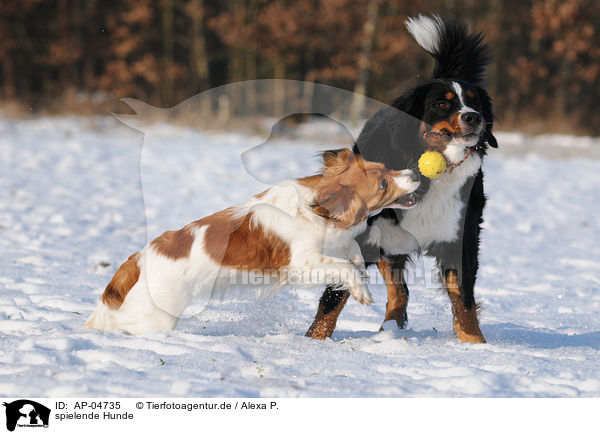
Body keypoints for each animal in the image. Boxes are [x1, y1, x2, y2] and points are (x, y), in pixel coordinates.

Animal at [85, 147, 418, 334]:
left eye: (385, 167)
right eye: (383, 184)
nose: (415, 172)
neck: (316, 207)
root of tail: (139, 258)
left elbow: (352, 254)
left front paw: (359, 272)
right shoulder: (299, 265)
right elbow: (344, 267)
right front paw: (362, 291)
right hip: (158, 315)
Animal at [308, 14, 500, 342]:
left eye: (475, 102)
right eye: (442, 103)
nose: (474, 117)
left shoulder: (460, 235)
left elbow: (463, 298)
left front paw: (475, 344)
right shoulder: (361, 234)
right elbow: (334, 297)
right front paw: (313, 340)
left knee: (402, 292)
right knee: (399, 290)